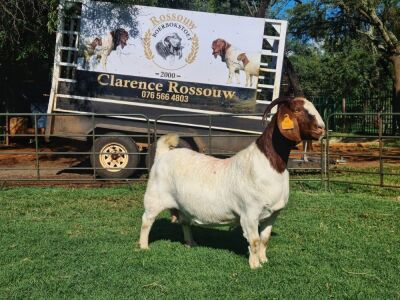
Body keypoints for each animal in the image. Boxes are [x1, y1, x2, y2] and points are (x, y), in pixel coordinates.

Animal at [139, 96, 326, 270]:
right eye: (297, 110)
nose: (322, 128)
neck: (270, 165)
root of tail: (163, 154)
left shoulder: (272, 214)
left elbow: (264, 239)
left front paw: (264, 260)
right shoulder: (249, 214)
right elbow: (255, 241)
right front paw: (255, 265)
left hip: (182, 205)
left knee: (184, 221)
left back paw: (191, 243)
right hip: (154, 198)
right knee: (147, 220)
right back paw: (143, 247)